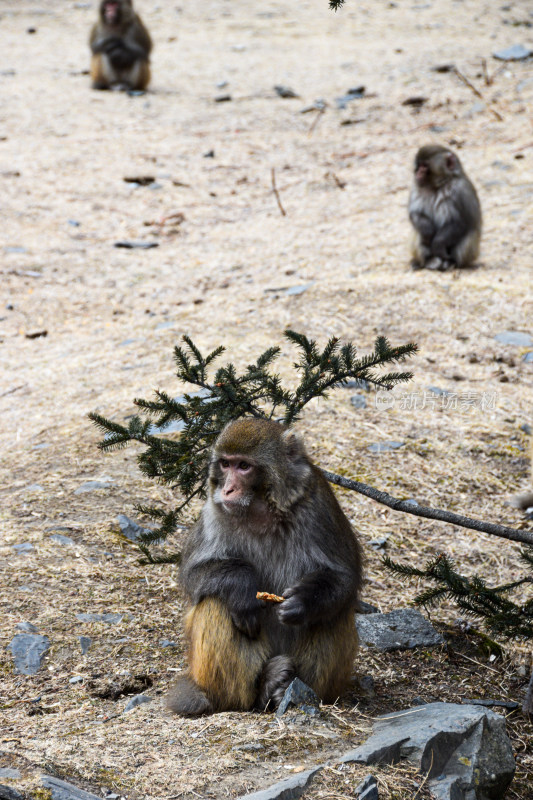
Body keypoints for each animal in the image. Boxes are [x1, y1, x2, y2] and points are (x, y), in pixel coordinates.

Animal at [166, 416, 364, 716]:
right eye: (225, 464)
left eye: (243, 466)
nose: (227, 489)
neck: (262, 510)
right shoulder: (213, 513)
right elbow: (194, 575)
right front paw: (243, 588)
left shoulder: (318, 506)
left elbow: (344, 577)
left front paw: (304, 601)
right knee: (217, 602)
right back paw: (263, 689)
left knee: (334, 612)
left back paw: (294, 689)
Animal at [410, 142, 480, 270]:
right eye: (419, 165)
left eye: (425, 166)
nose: (418, 173)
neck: (437, 186)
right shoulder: (416, 187)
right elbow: (415, 213)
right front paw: (427, 231)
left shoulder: (461, 191)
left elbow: (461, 221)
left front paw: (438, 244)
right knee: (417, 231)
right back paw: (427, 261)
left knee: (470, 233)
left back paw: (453, 263)